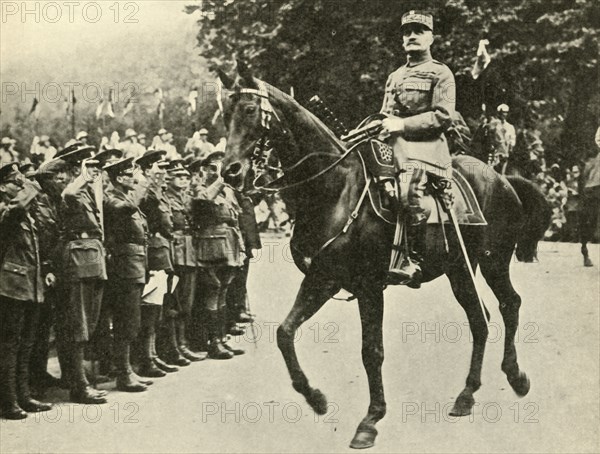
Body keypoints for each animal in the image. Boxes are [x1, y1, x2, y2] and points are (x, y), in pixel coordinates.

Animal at [218, 63, 552, 450]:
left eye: (249, 110)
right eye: (225, 114)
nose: (229, 172)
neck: (334, 188)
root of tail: (501, 177)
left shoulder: (369, 286)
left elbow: (371, 351)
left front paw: (371, 419)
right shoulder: (323, 278)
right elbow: (284, 333)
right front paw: (316, 398)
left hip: (493, 261)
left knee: (509, 304)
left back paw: (516, 377)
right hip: (459, 269)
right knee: (479, 318)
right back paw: (466, 395)